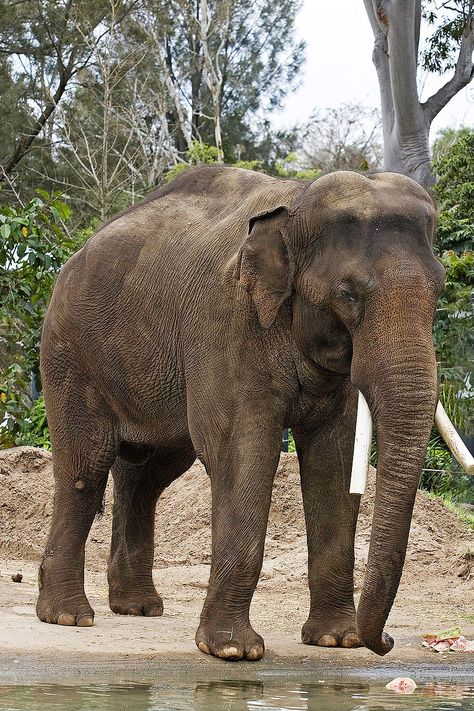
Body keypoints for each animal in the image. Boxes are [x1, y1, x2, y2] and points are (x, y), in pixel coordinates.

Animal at [37, 164, 444, 660]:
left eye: (440, 290)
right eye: (348, 294)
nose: (385, 641)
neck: (298, 203)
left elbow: (334, 457)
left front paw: (336, 640)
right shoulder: (229, 323)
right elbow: (242, 451)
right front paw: (233, 650)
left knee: (148, 473)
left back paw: (138, 607)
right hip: (69, 354)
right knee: (86, 465)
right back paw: (68, 616)